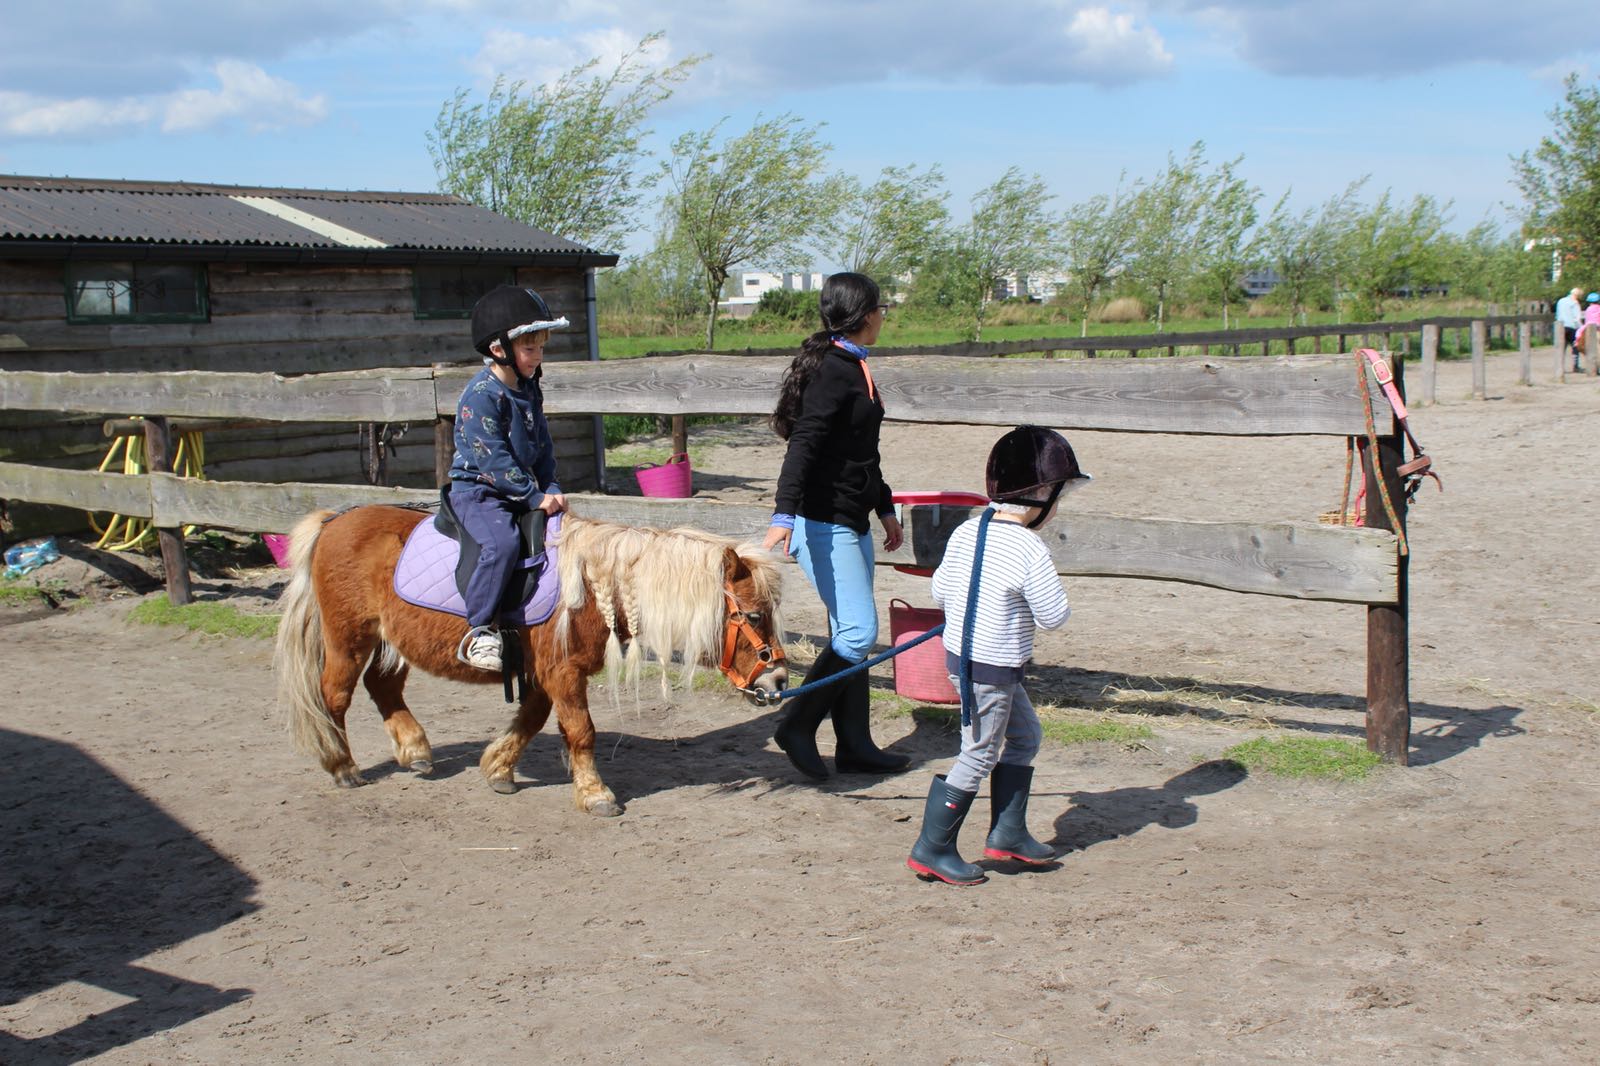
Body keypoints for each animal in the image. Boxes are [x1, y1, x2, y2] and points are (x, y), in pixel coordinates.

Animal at [275, 505, 787, 813]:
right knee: (334, 696)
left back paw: (415, 752)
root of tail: (334, 521)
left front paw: (498, 768)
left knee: (382, 689)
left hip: (389, 644)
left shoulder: (545, 672)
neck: (594, 587)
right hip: (349, 640)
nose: (779, 680)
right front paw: (596, 794)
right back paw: (342, 766)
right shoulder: (563, 671)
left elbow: (532, 719)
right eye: (754, 615)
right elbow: (580, 731)